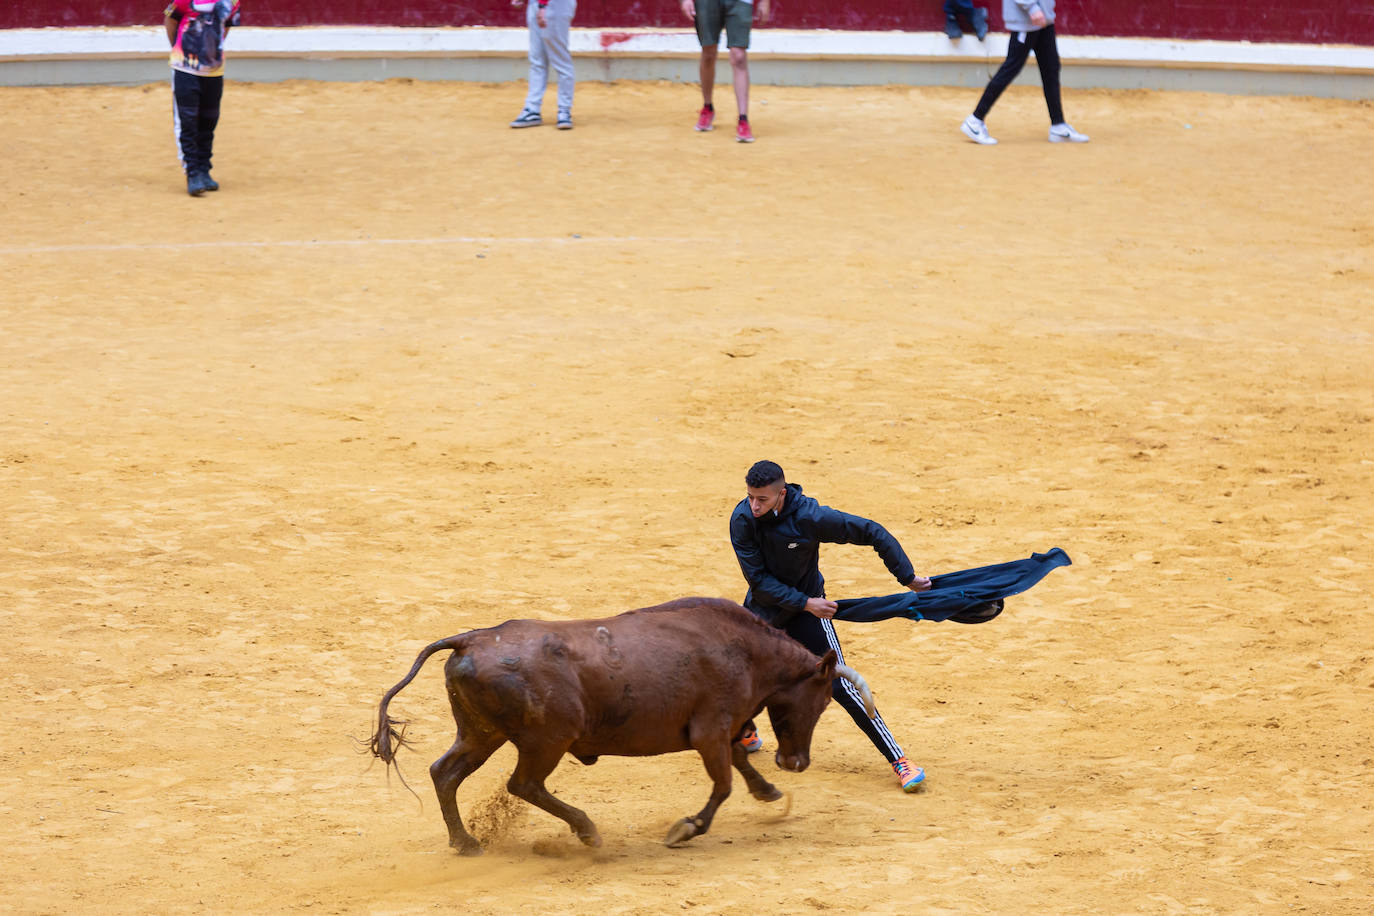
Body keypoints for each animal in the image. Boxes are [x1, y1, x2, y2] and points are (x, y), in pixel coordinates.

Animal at [370, 596, 873, 851]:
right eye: (823, 702)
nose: (795, 763)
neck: (748, 650)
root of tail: (470, 639)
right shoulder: (710, 730)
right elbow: (723, 784)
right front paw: (686, 828)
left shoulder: (720, 730)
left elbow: (737, 764)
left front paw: (768, 791)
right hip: (547, 740)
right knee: (523, 784)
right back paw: (587, 831)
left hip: (481, 733)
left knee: (445, 773)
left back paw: (466, 841)